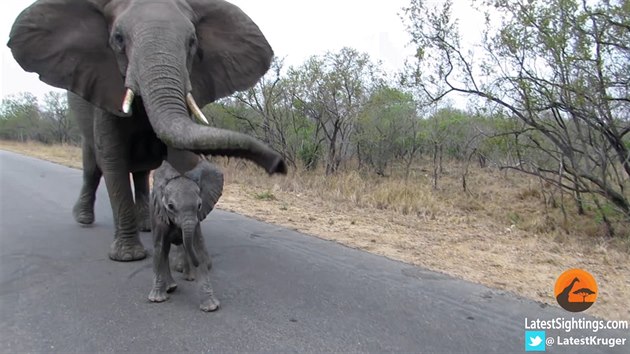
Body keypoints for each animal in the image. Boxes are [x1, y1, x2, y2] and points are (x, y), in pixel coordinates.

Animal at [8, 0, 286, 260]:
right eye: (118, 39)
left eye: (192, 42)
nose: (279, 165)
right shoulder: (105, 87)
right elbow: (113, 162)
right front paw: (128, 256)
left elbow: (181, 159)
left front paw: (181, 253)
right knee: (92, 167)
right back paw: (84, 219)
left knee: (141, 173)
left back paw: (147, 226)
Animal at [149, 159, 225, 312]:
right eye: (170, 206)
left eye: (199, 205)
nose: (209, 264)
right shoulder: (160, 217)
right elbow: (159, 249)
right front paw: (157, 300)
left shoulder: (196, 221)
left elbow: (197, 248)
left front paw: (211, 307)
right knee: (164, 251)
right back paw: (171, 288)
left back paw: (187, 279)